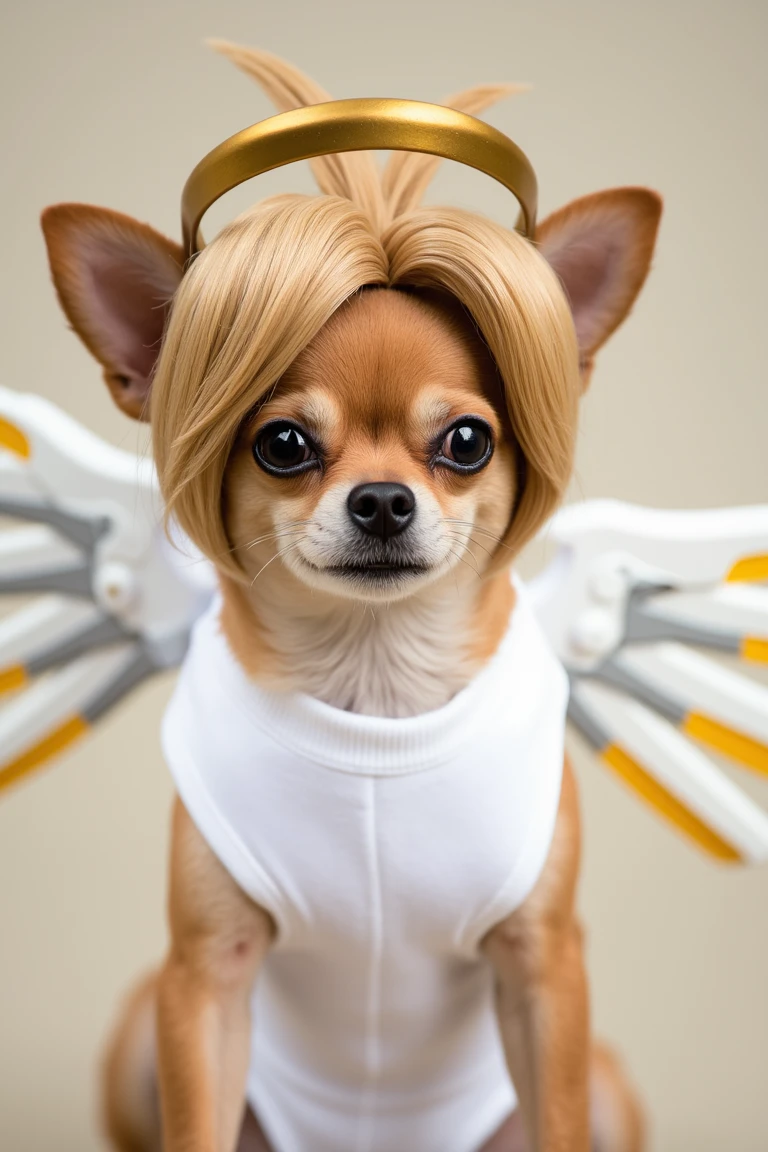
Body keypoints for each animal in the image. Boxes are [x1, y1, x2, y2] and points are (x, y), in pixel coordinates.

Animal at [40, 40, 663, 1152]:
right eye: (283, 444)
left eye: (468, 441)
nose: (380, 499)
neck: (375, 685)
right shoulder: (202, 983)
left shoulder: (545, 974)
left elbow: (555, 1104)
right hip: (136, 1040)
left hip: (606, 1084)